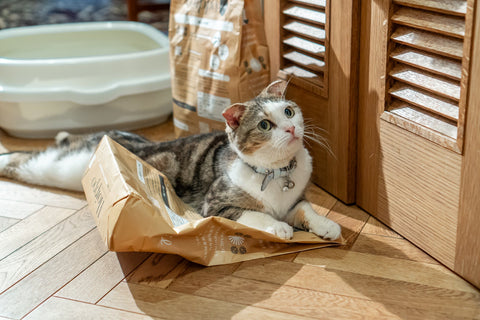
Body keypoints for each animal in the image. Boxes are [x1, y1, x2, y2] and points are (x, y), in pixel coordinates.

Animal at [0, 80, 342, 240]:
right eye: (265, 125)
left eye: (288, 111)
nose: (292, 128)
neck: (276, 172)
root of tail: (103, 136)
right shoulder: (217, 205)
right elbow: (253, 213)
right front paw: (278, 228)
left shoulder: (294, 200)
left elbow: (307, 209)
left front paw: (327, 226)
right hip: (57, 167)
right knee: (24, 158)